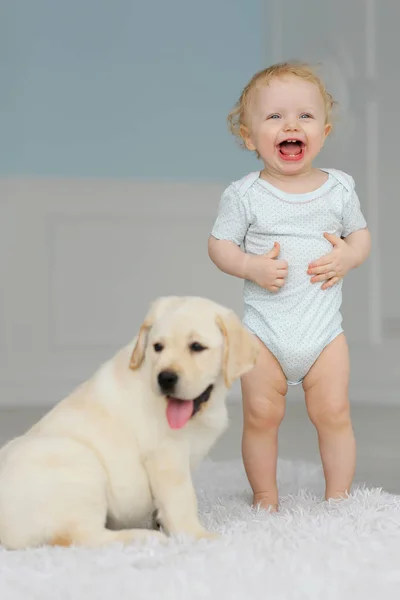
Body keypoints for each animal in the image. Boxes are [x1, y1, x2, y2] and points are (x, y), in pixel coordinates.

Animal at [0, 296, 258, 548]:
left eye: (196, 347)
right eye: (158, 347)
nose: (165, 378)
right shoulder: (167, 457)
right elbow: (182, 500)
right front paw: (196, 535)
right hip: (81, 464)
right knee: (81, 537)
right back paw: (142, 537)